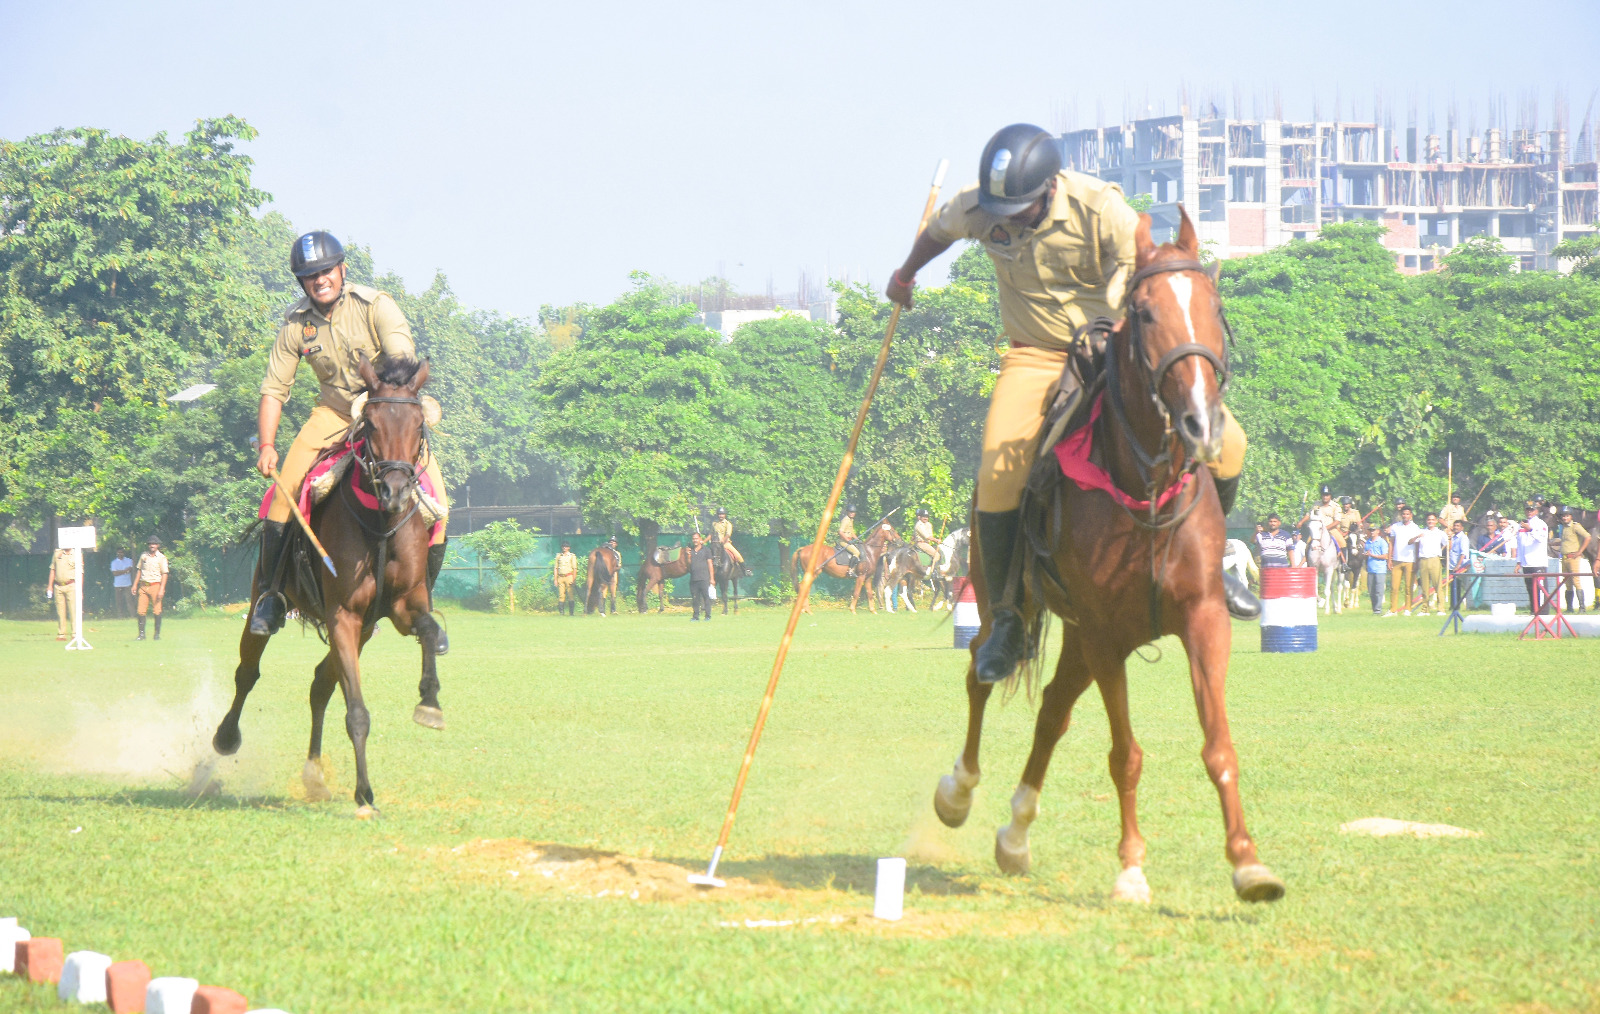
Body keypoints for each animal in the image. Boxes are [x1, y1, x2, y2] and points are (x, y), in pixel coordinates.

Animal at [211, 351, 444, 809]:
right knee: (248, 671)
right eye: (371, 424)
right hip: (267, 601)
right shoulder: (343, 615)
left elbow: (427, 629)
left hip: (366, 630)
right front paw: (364, 793)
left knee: (320, 684)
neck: (380, 527)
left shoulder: (402, 607)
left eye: (417, 425)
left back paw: (314, 774)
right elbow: (357, 712)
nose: (395, 492)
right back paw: (226, 736)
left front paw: (430, 701)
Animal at [934, 211, 1286, 902]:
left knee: (1051, 712)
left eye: (1213, 305)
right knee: (979, 670)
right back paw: (958, 792)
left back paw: (1016, 836)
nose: (1200, 422)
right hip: (1008, 602)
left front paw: (1248, 863)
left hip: (1076, 636)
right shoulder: (1105, 636)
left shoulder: (1201, 620)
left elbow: (1218, 746)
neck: (1144, 486)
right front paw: (1130, 870)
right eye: (1144, 313)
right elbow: (1125, 755)